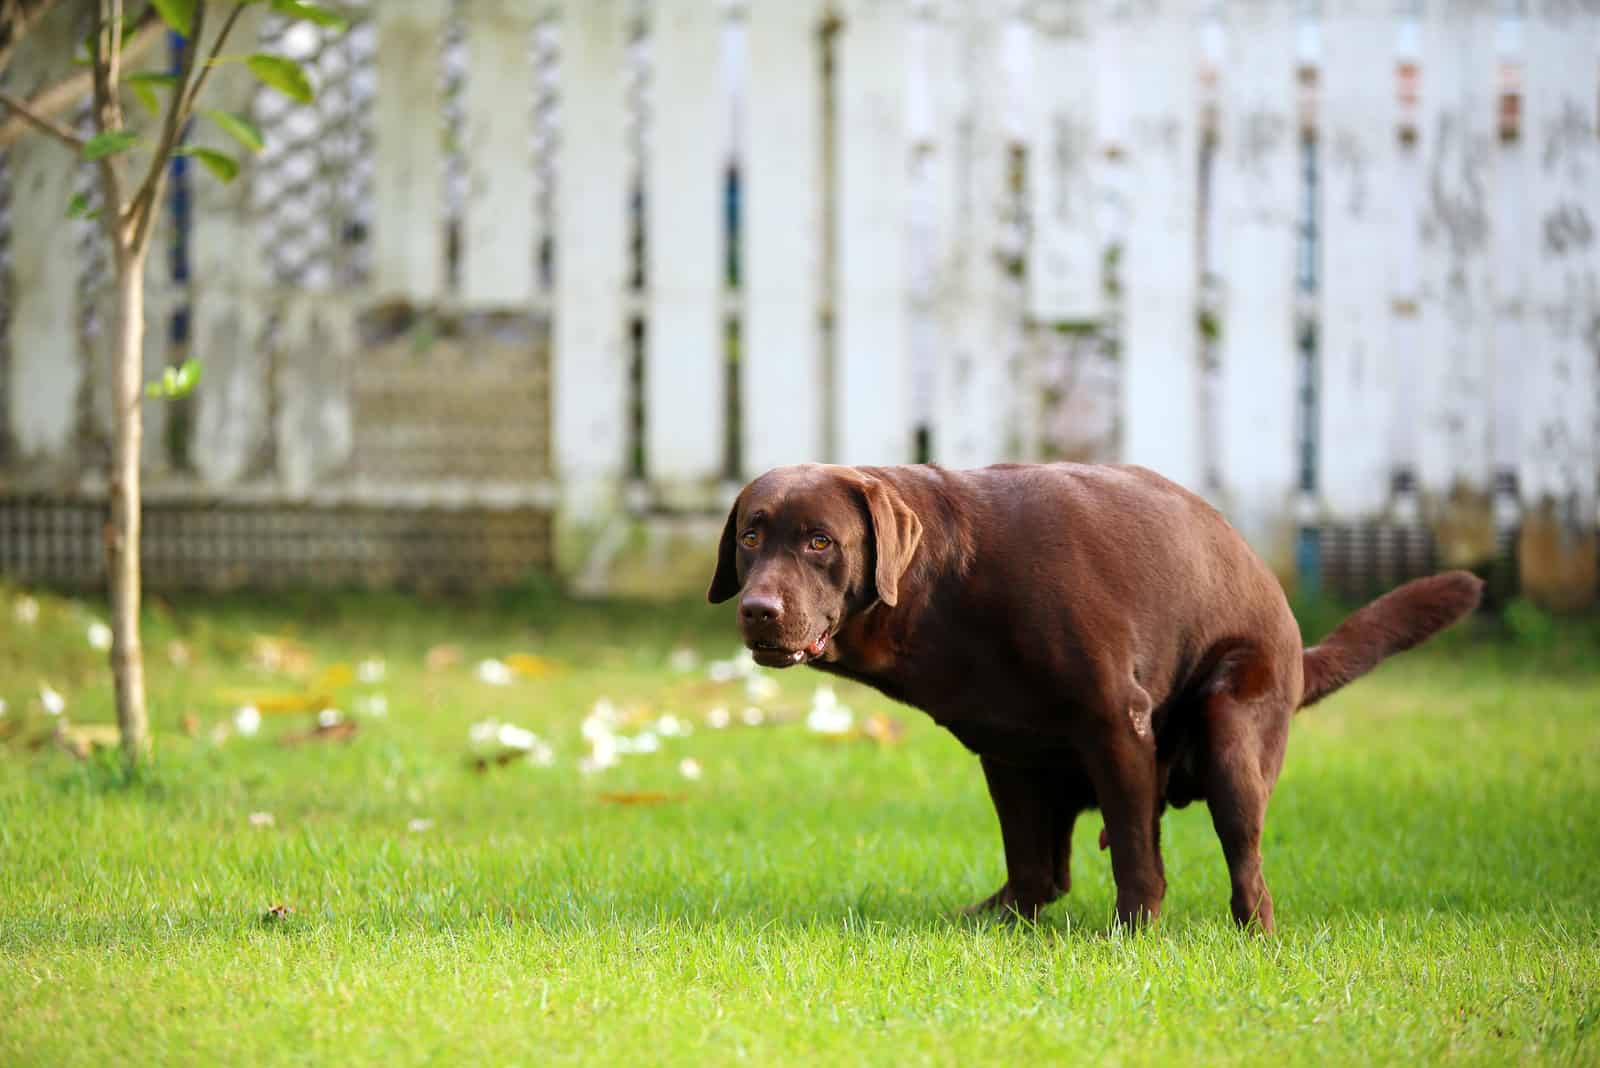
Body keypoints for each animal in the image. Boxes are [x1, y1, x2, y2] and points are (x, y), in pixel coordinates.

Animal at [707, 463, 1478, 927]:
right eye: (750, 535)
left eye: (819, 542)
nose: (759, 611)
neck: (949, 585)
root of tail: (1293, 635)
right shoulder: (1006, 753)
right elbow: (1029, 860)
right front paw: (1003, 926)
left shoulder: (1116, 724)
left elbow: (1137, 857)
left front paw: (1131, 934)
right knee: (1054, 870)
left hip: (1234, 729)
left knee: (1247, 867)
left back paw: (1253, 936)